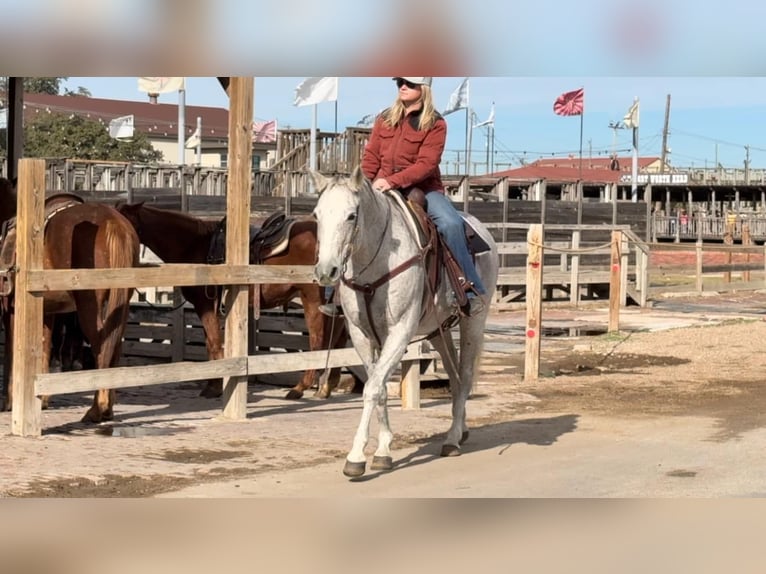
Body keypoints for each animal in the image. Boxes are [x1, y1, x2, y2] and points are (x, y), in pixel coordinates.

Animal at [0, 178, 141, 426]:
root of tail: (114, 224)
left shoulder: (13, 311)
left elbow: (13, 354)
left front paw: (10, 402)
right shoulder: (47, 312)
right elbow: (43, 348)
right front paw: (42, 400)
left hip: (89, 307)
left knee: (101, 347)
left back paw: (97, 409)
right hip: (119, 306)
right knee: (114, 347)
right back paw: (107, 409)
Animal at [118, 202, 348, 400]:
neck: (195, 245)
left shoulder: (205, 305)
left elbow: (213, 344)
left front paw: (216, 386)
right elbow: (210, 344)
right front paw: (213, 384)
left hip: (312, 296)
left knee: (319, 338)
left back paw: (300, 387)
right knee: (338, 334)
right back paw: (325, 387)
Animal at [310, 168, 498, 482]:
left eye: (351, 215)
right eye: (317, 214)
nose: (326, 271)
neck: (376, 263)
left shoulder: (398, 332)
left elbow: (372, 388)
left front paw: (357, 457)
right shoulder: (362, 336)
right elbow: (380, 387)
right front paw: (383, 449)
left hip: (473, 322)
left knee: (465, 375)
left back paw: (452, 439)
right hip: (438, 330)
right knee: (455, 377)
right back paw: (460, 431)